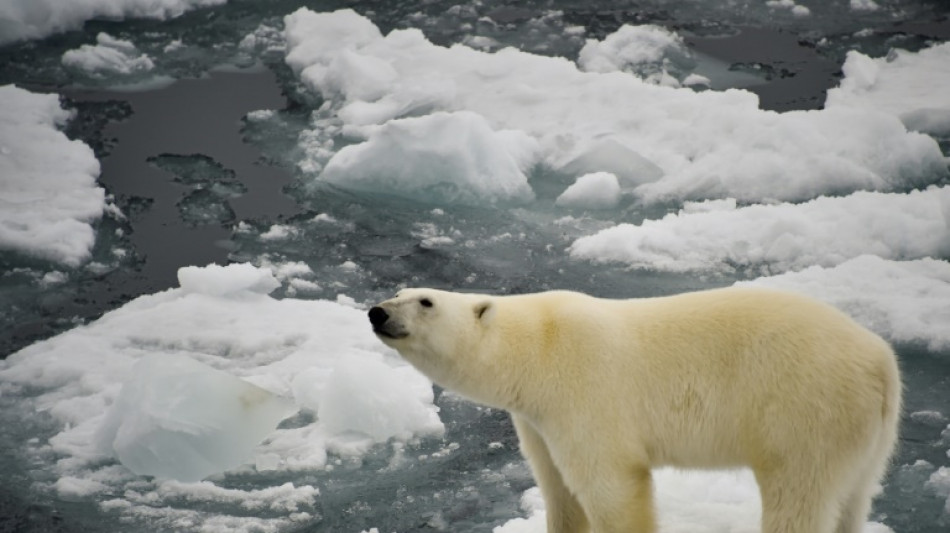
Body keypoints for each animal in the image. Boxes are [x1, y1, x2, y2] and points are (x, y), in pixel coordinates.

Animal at [368, 286, 904, 532]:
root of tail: (881, 360)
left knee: (799, 496)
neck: (538, 348)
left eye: (425, 301)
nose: (377, 312)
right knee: (853, 497)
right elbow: (558, 490)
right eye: (397, 291)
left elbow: (611, 486)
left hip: (804, 411)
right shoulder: (537, 420)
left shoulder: (584, 389)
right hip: (868, 433)